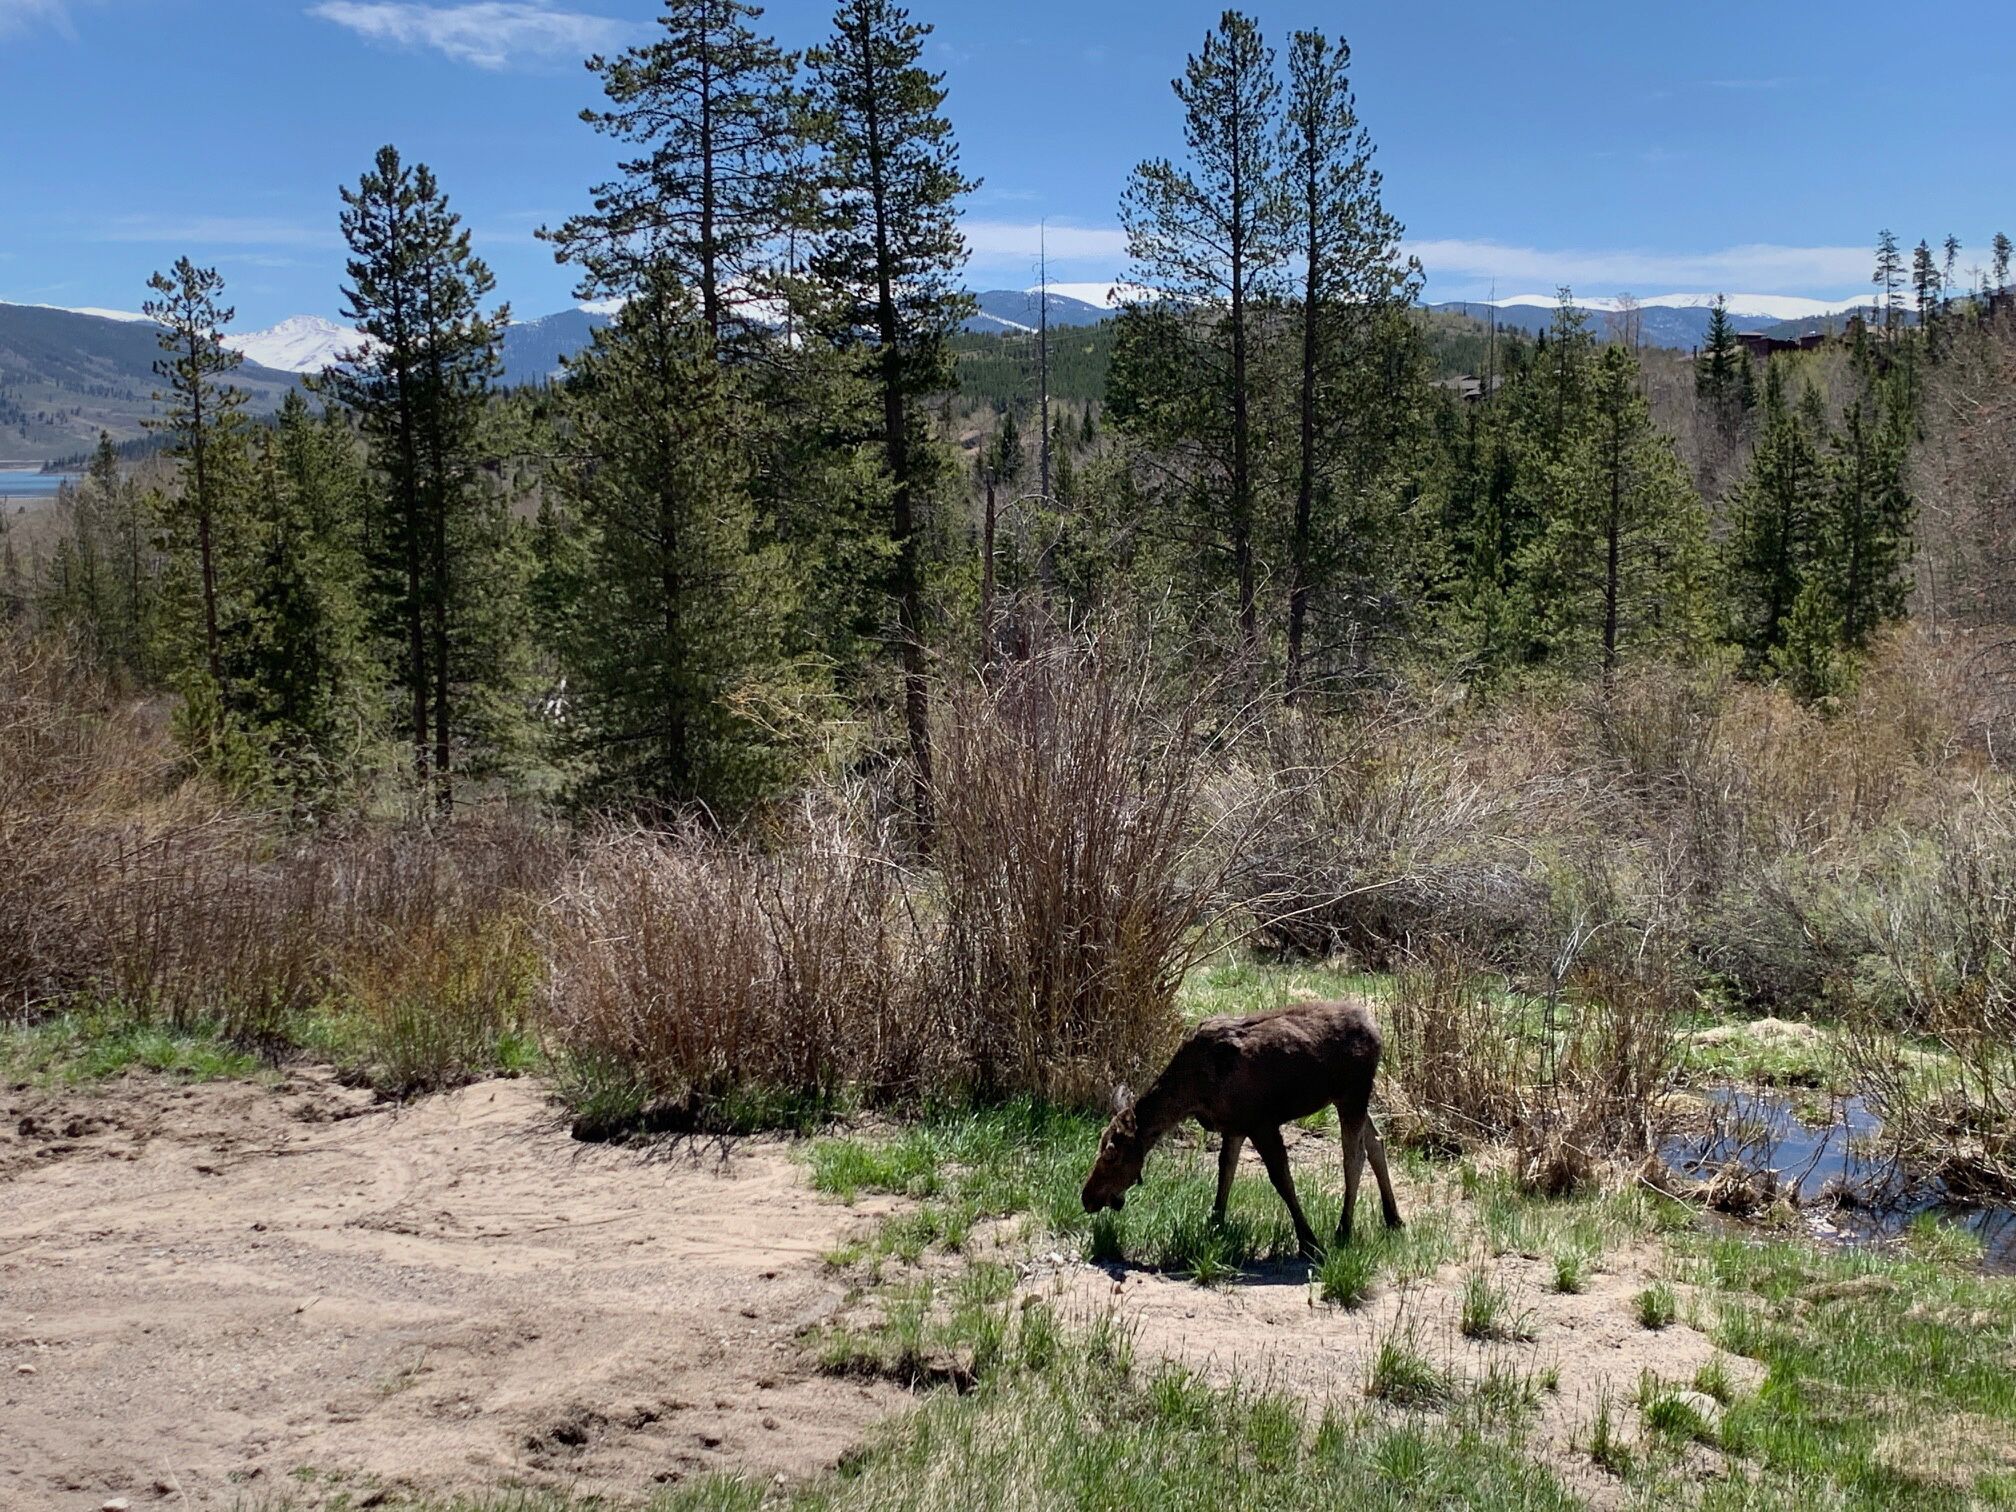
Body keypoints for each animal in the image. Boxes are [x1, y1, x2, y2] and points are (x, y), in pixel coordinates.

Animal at [1080, 997, 1402, 1259]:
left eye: (1111, 1154)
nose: (1087, 1197)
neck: (1193, 1093)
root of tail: (1378, 1032)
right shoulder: (1233, 1125)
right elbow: (1226, 1171)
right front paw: (1215, 1222)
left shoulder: (1260, 1122)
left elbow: (1281, 1180)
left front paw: (1309, 1241)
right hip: (1350, 1098)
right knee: (1376, 1140)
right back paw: (1393, 1218)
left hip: (1353, 1093)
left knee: (1354, 1157)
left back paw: (1344, 1229)